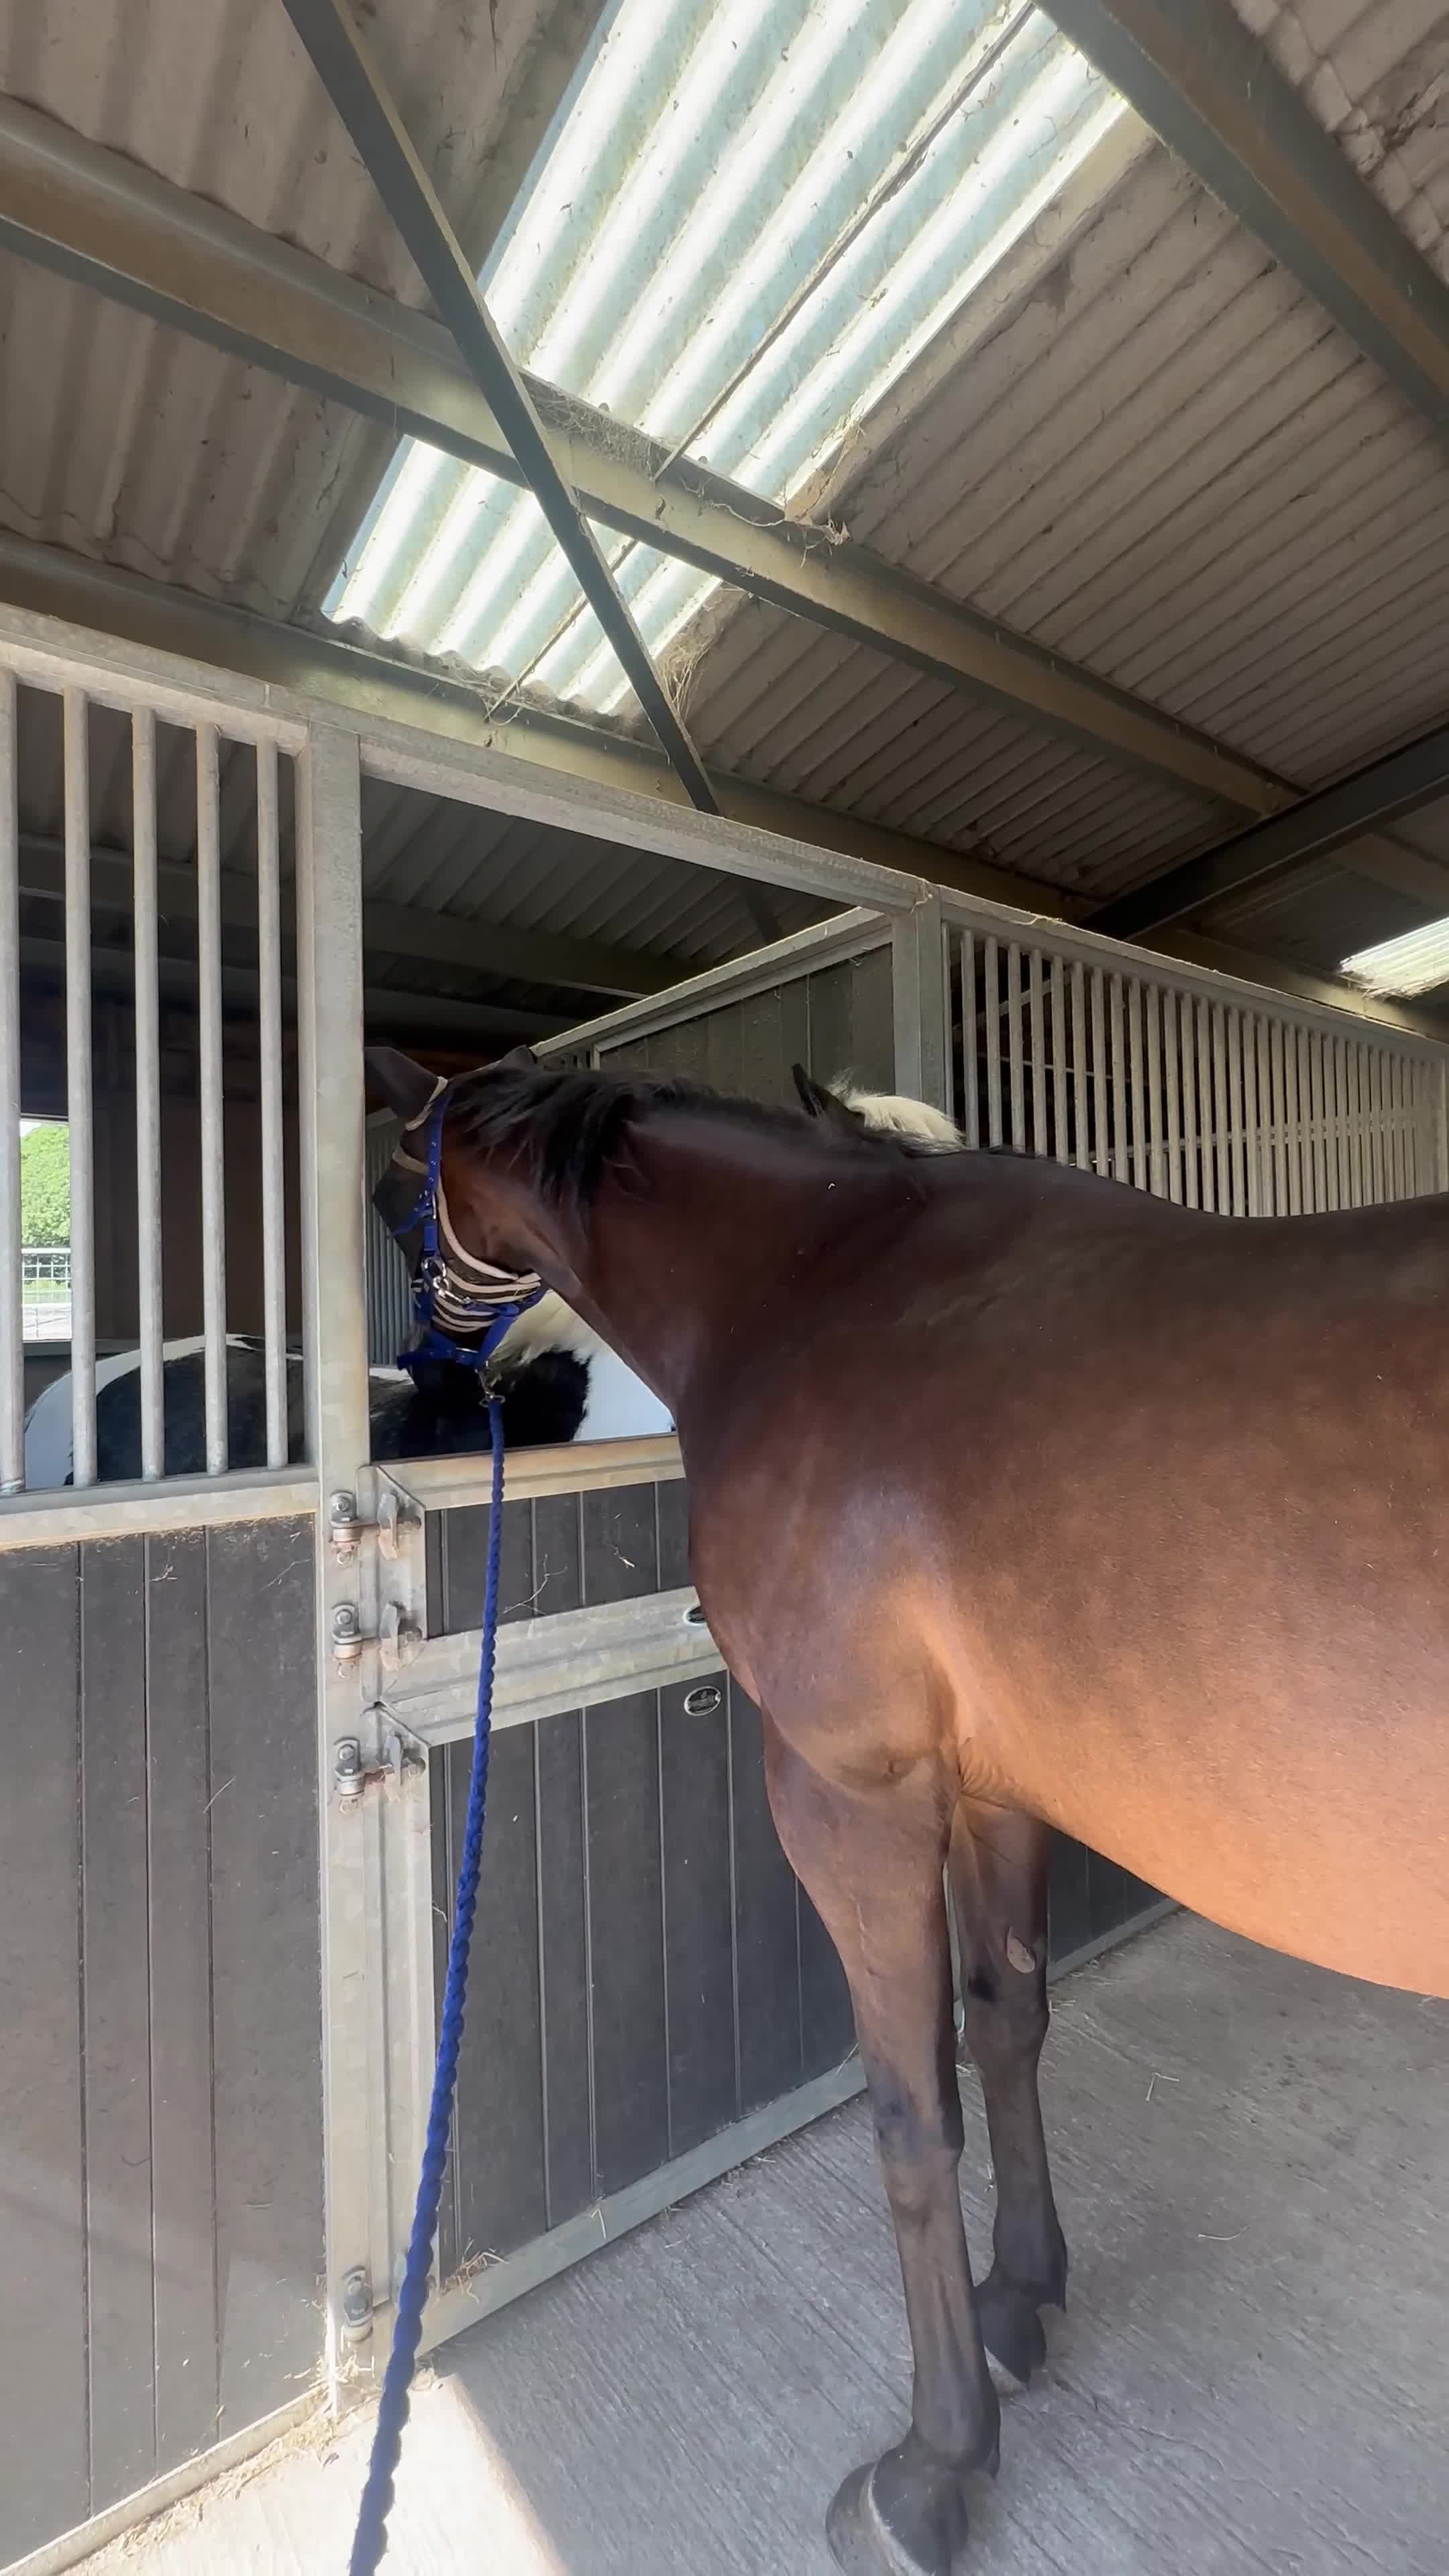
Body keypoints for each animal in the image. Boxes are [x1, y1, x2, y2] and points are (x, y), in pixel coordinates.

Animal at [366, 1038, 1449, 2576]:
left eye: (392, 1198)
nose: (452, 1381)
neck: (821, 1285)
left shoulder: (847, 1799)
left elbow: (910, 2113)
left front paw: (933, 2467)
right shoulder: (995, 1790)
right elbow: (1006, 2030)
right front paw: (1019, 2299)